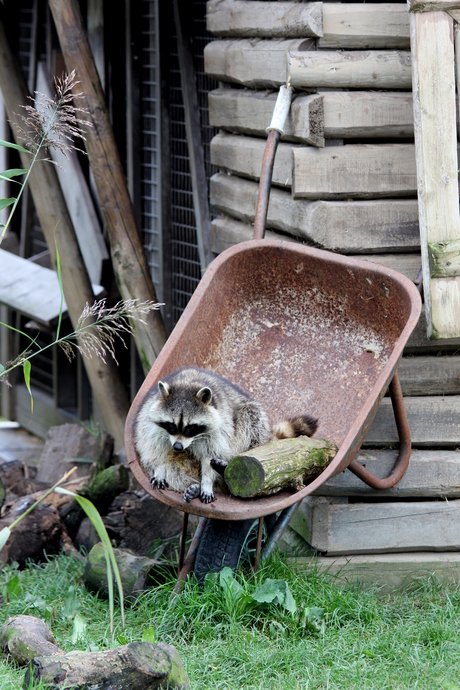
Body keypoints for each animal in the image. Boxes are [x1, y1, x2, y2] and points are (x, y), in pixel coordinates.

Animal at [135, 366, 318, 506]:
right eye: (171, 425)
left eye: (191, 427)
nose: (178, 447)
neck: (188, 383)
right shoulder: (151, 426)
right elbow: (155, 450)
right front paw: (159, 467)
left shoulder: (219, 428)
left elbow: (210, 455)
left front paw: (207, 482)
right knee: (175, 469)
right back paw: (193, 486)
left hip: (250, 420)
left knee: (251, 420)